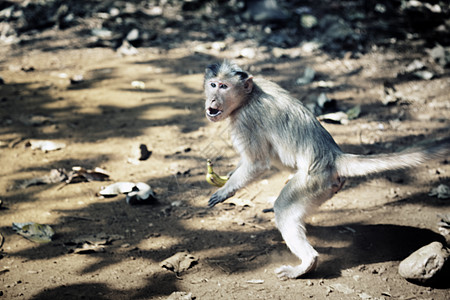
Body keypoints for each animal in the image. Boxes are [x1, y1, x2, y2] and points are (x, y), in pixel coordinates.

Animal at [203, 59, 446, 280]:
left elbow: (257, 163)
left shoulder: (245, 119)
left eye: (224, 86)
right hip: (325, 187)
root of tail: (333, 156)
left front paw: (227, 190)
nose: (212, 98)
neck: (249, 96)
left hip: (313, 181)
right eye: (213, 84)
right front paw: (230, 177)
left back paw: (307, 263)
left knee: (284, 207)